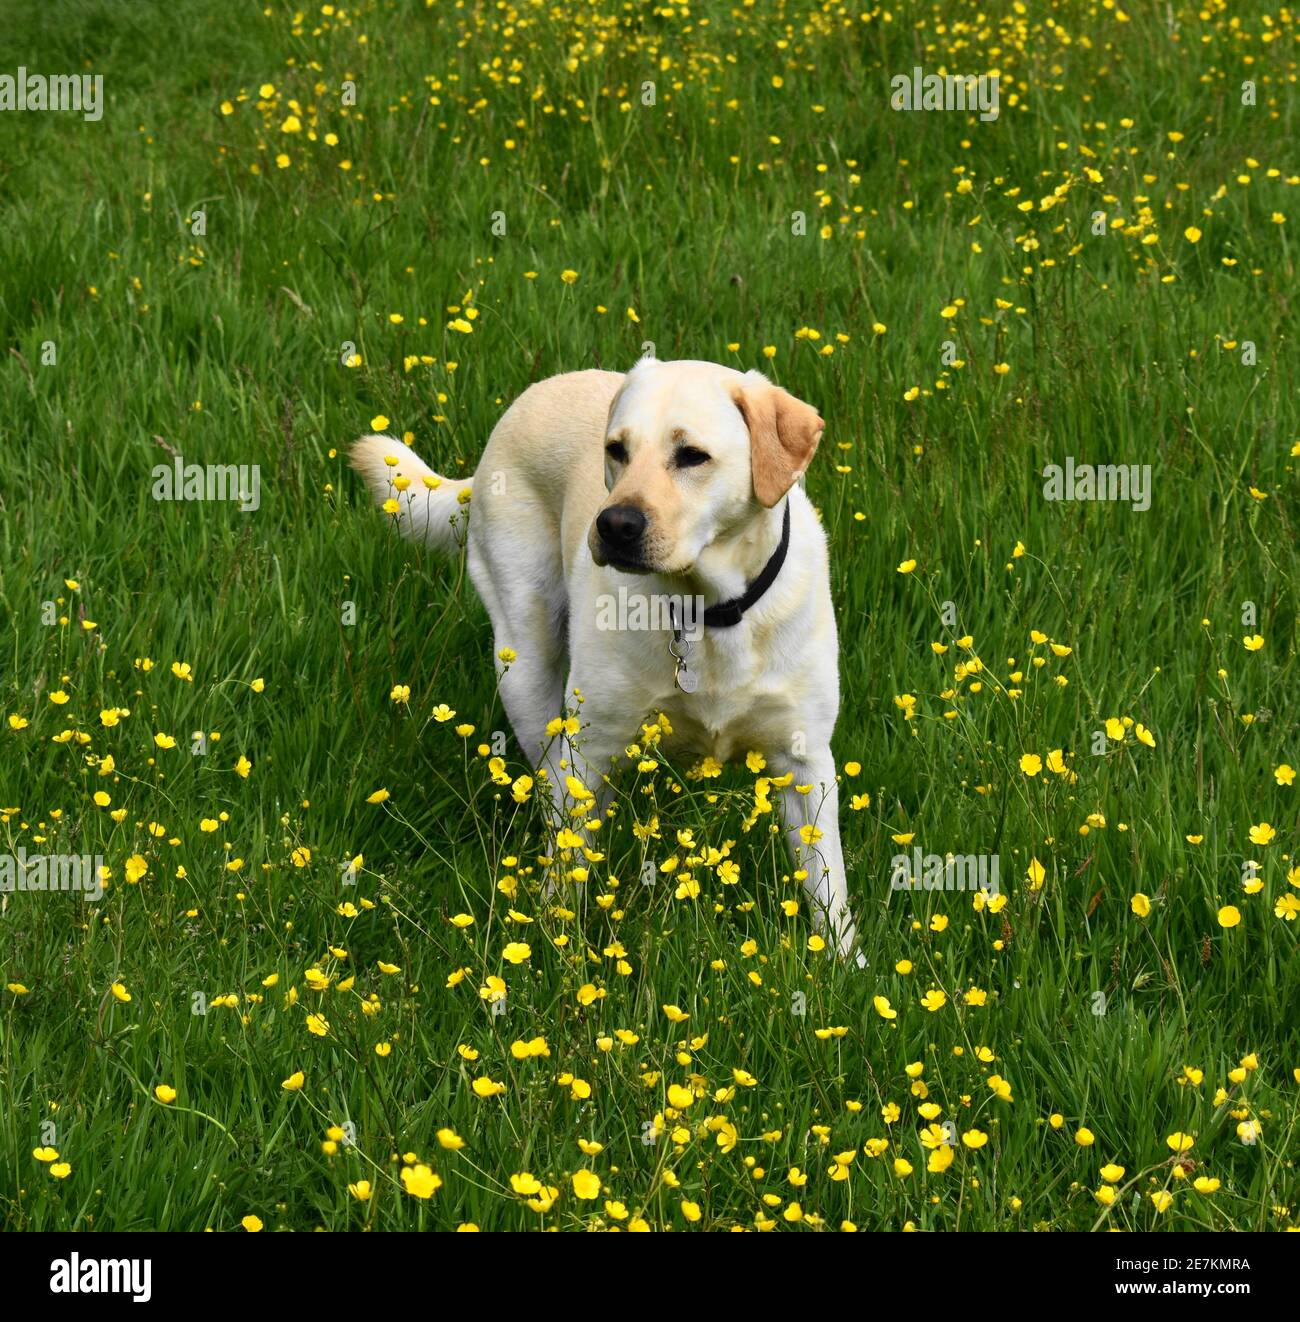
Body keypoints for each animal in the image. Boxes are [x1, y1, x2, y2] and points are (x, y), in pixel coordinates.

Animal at [357, 359, 856, 962]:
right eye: (616, 450)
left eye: (692, 455)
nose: (615, 524)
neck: (706, 611)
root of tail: (536, 392)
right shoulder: (589, 748)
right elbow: (568, 860)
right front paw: (555, 946)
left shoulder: (804, 763)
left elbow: (829, 884)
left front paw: (842, 966)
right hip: (526, 669)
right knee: (553, 788)